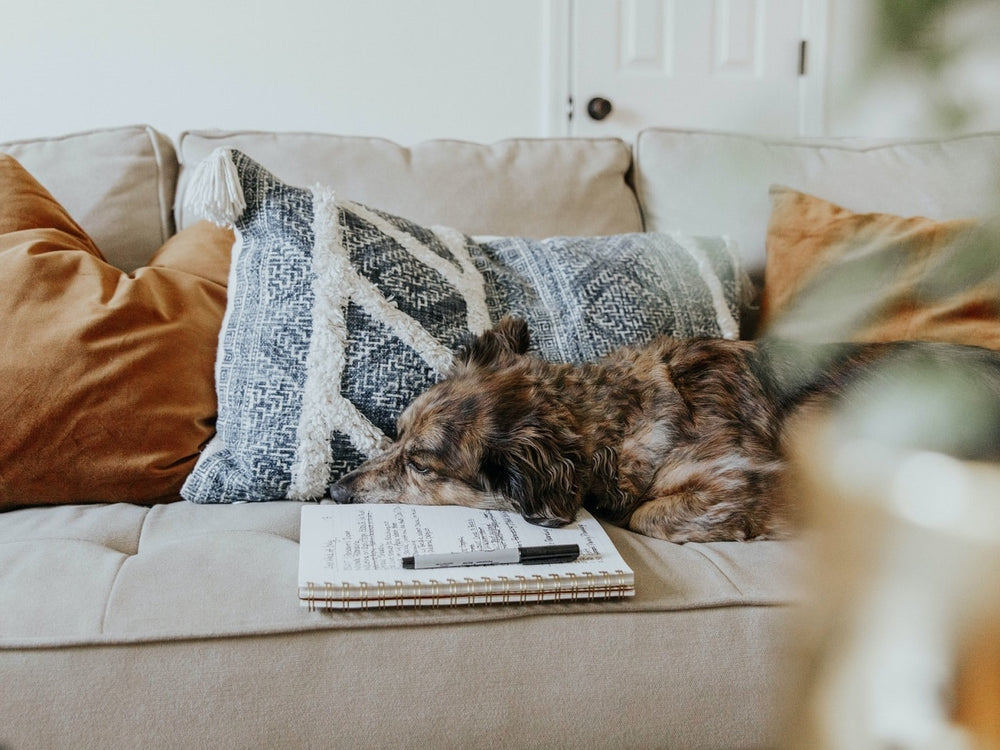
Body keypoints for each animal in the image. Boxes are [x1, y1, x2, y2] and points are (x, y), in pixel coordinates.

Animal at [328, 316, 1000, 540]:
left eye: (420, 463)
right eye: (395, 433)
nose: (333, 491)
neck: (610, 418)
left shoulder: (742, 474)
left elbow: (648, 515)